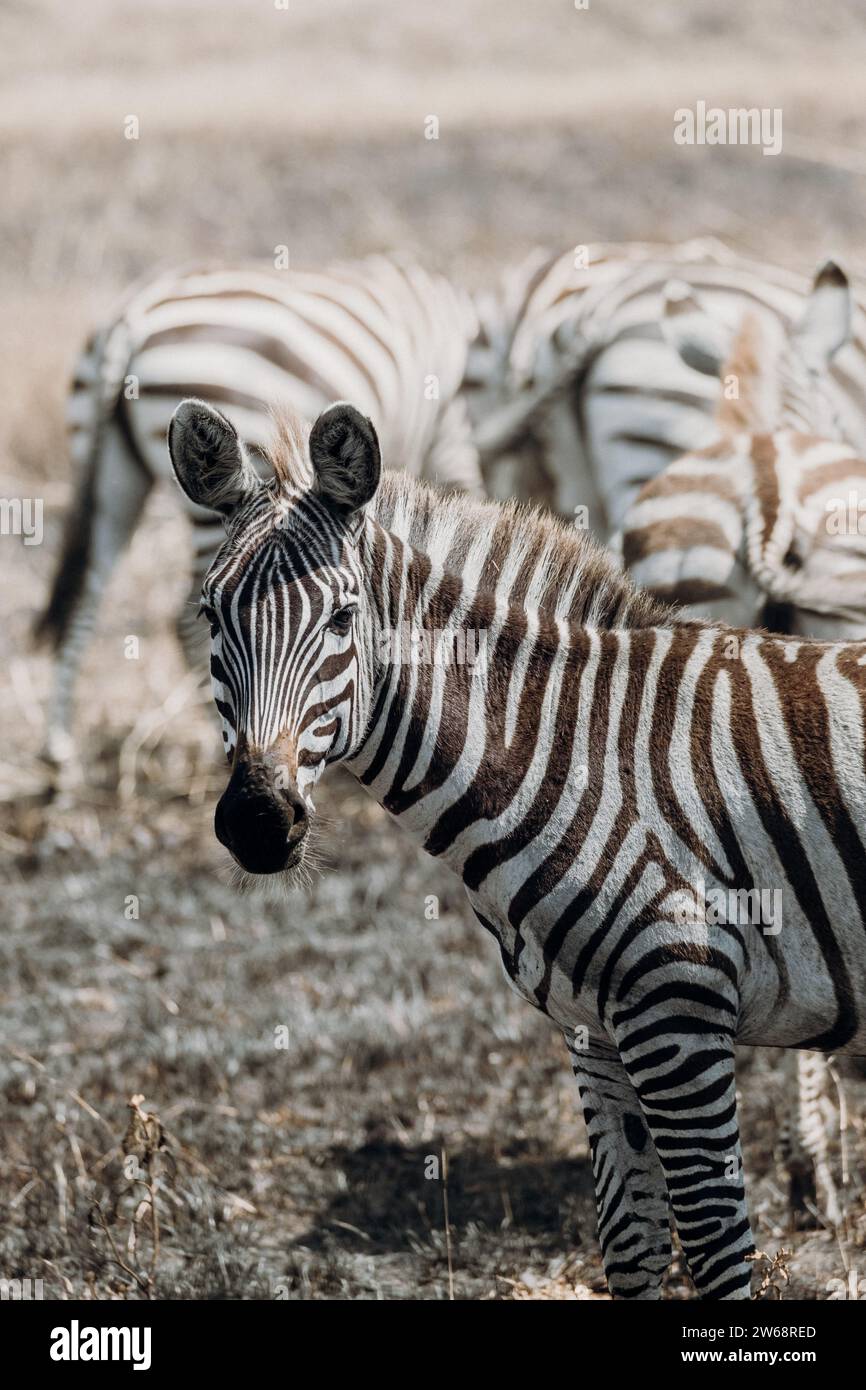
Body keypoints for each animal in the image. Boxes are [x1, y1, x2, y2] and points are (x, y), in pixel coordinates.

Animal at [35, 255, 482, 766]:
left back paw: (57, 745)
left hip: (112, 467)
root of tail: (131, 319)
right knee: (181, 623)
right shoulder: (449, 436)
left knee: (87, 590)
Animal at [168, 394, 866, 1299]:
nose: (256, 819)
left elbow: (714, 1247)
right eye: (211, 616)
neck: (573, 754)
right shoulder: (597, 1031)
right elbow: (631, 1246)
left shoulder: (678, 1012)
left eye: (344, 618)